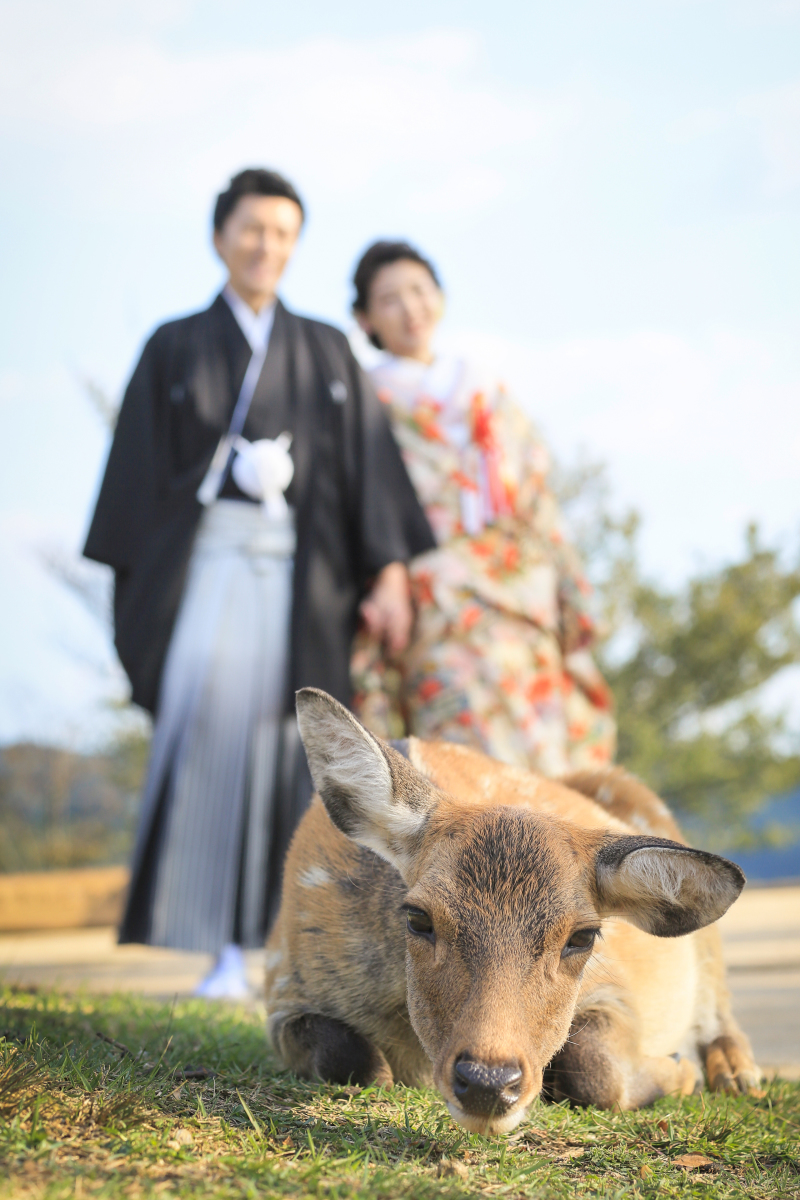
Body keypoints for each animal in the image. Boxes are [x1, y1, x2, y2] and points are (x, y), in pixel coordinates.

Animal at [265, 689, 760, 1134]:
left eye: (583, 936)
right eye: (418, 917)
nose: (488, 1083)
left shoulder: (616, 987)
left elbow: (594, 1069)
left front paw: (682, 1072)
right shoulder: (283, 984)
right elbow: (351, 1058)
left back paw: (738, 1077)